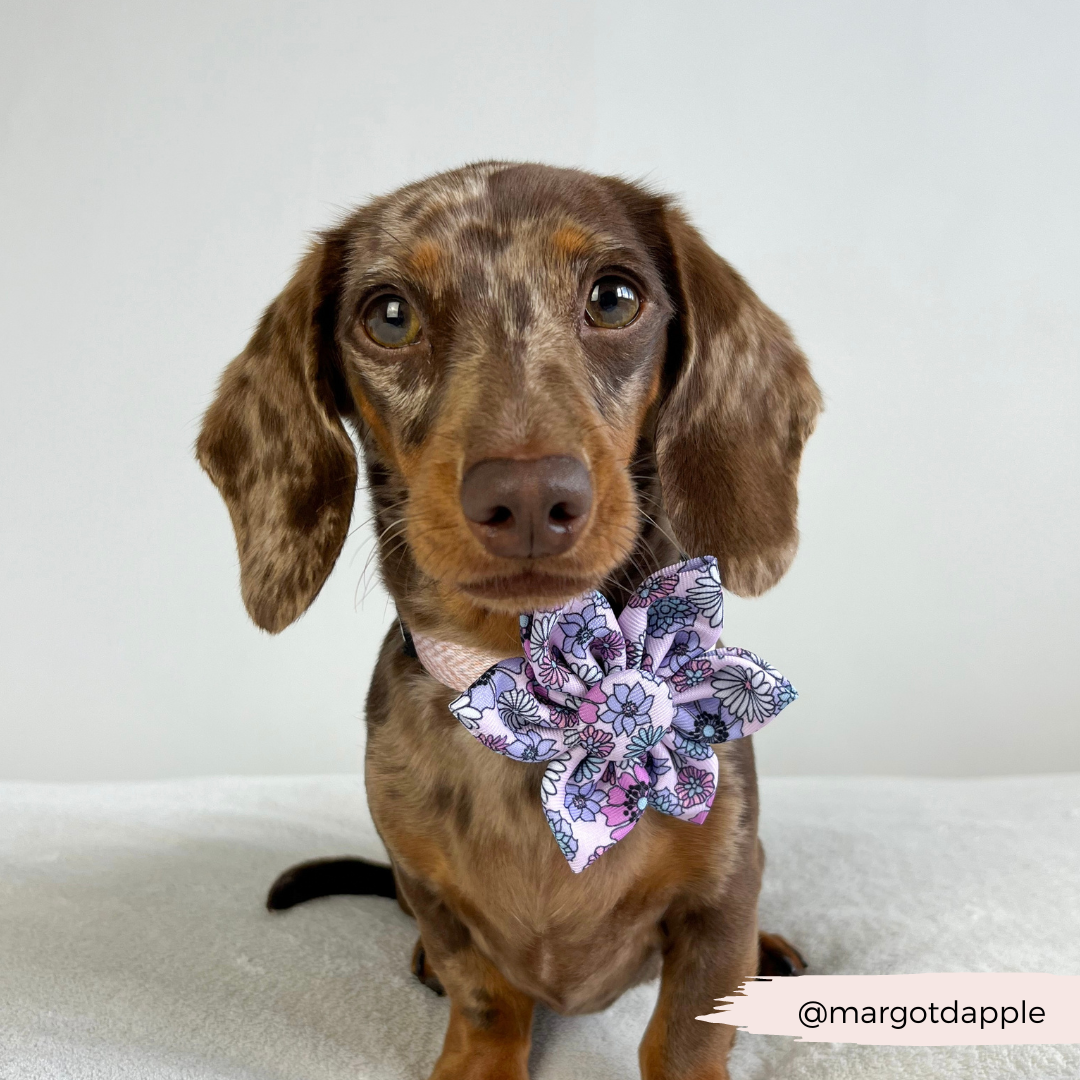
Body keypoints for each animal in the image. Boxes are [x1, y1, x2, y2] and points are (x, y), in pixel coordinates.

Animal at [196, 162, 816, 1080]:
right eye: (388, 315)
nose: (527, 498)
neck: (530, 673)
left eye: (614, 297)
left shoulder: (722, 891)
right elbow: (484, 993)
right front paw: (477, 1055)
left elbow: (687, 1030)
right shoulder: (428, 889)